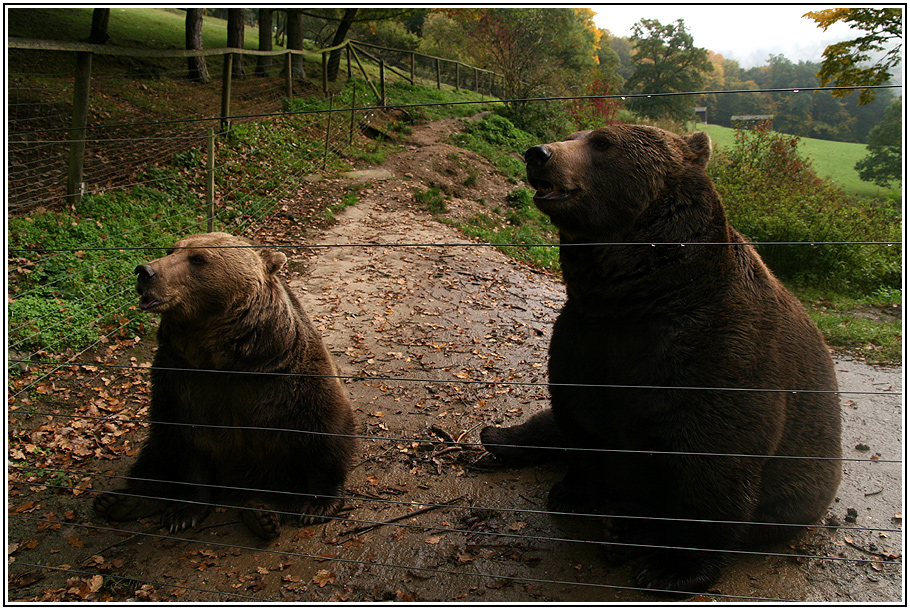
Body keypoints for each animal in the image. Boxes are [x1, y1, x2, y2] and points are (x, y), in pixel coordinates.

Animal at [93, 229, 356, 536]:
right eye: (171, 250)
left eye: (197, 258)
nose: (145, 271)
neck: (223, 358)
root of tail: (237, 486)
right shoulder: (181, 379)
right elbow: (185, 441)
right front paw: (182, 513)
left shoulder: (288, 378)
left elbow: (325, 429)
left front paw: (317, 504)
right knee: (156, 453)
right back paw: (122, 501)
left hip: (273, 467)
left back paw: (260, 512)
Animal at [480, 124, 844, 592]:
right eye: (574, 135)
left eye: (602, 142)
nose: (538, 153)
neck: (641, 294)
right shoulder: (586, 337)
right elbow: (580, 418)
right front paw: (571, 493)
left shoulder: (719, 350)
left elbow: (711, 464)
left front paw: (672, 569)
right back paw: (499, 437)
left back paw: (627, 535)